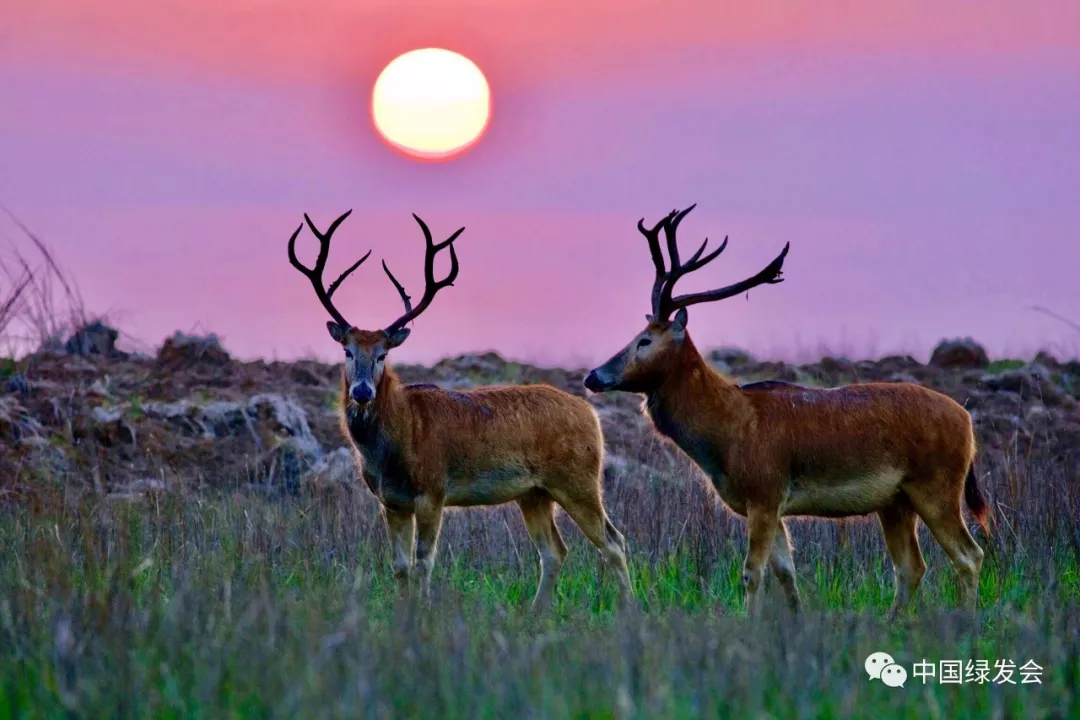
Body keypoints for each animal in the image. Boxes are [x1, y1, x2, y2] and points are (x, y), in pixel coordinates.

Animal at [291, 211, 635, 613]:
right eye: (347, 351)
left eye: (382, 354)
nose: (362, 391)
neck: (397, 440)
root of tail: (590, 413)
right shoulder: (390, 501)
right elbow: (400, 566)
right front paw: (402, 613)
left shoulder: (432, 489)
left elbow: (424, 562)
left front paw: (423, 613)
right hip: (533, 492)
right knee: (554, 551)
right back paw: (535, 614)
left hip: (578, 478)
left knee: (613, 541)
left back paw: (629, 610)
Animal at [583, 204, 989, 621]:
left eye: (644, 340)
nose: (593, 376)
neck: (728, 434)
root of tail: (968, 424)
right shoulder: (770, 503)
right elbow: (785, 571)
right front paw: (795, 619)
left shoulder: (765, 490)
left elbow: (752, 571)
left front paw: (750, 623)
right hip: (896, 501)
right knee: (911, 566)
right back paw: (893, 622)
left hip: (937, 483)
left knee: (969, 555)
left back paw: (966, 620)